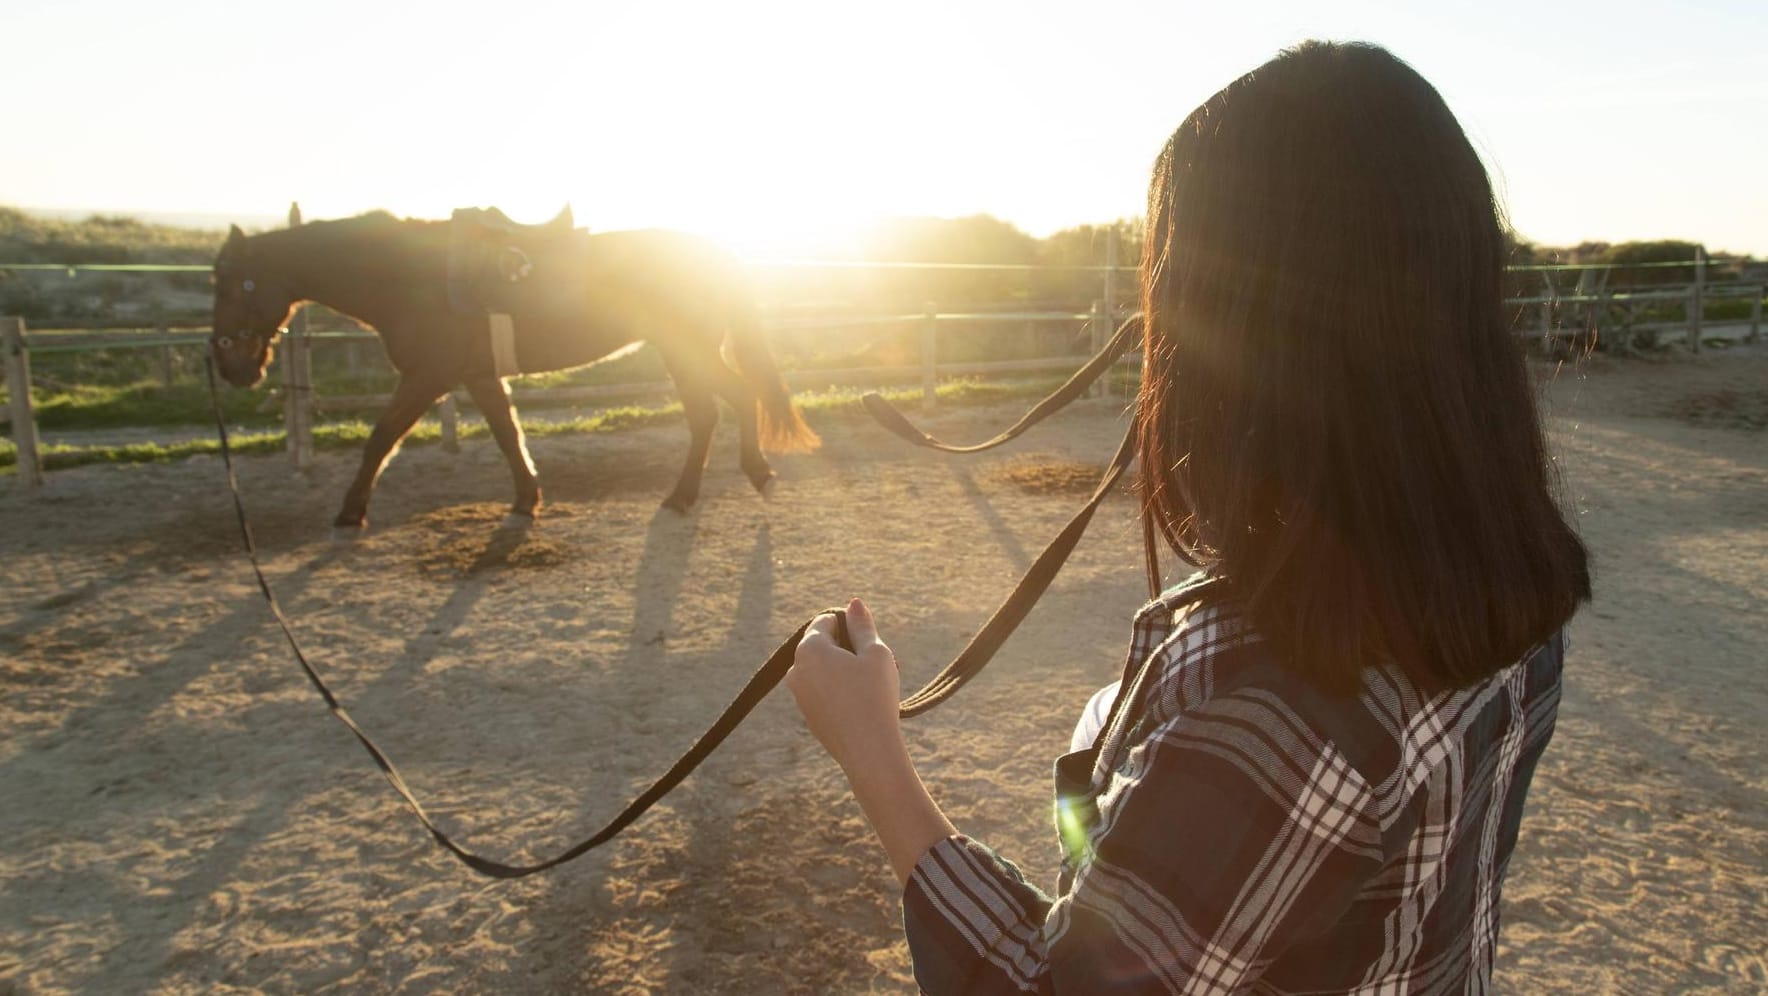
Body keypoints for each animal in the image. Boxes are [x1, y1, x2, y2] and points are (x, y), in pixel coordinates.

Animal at [210, 212, 816, 530]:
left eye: (231, 283)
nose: (227, 363)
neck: (410, 277)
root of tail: (712, 249)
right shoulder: (477, 377)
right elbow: (507, 434)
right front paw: (527, 498)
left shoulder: (429, 376)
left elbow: (380, 437)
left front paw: (351, 510)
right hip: (684, 349)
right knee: (719, 407)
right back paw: (719, 482)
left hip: (684, 347)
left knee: (722, 404)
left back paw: (722, 482)